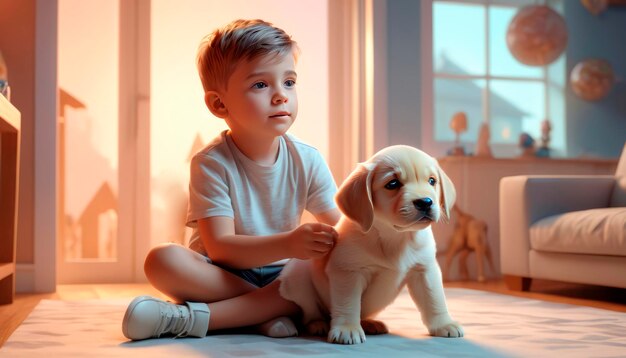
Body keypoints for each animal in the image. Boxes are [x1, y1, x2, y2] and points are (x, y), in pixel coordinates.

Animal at [278, 145, 464, 344]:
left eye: (432, 181)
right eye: (392, 184)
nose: (425, 202)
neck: (396, 237)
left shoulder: (425, 270)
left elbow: (434, 299)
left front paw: (444, 324)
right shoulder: (348, 271)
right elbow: (348, 303)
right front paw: (347, 329)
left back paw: (370, 323)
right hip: (295, 277)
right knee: (309, 313)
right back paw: (317, 324)